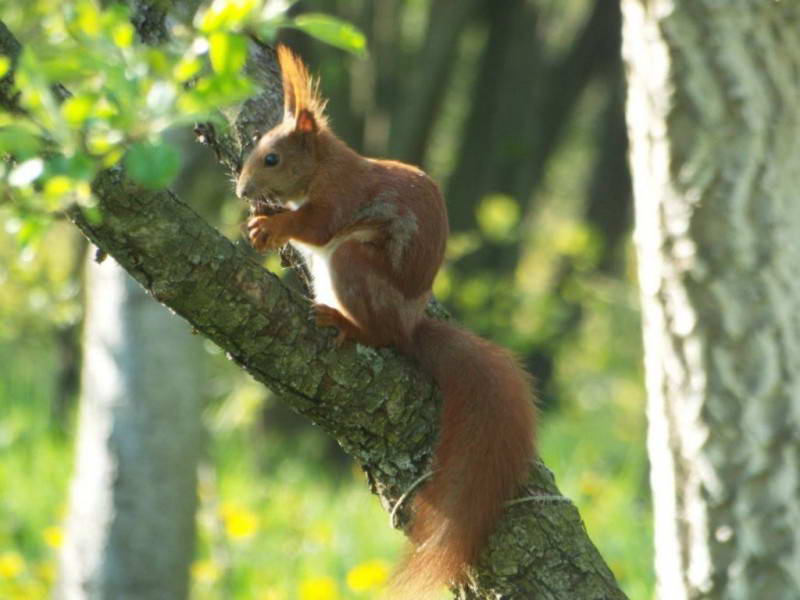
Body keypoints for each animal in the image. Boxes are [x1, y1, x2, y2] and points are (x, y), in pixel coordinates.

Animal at [238, 44, 536, 592]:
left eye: (272, 157)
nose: (243, 189)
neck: (325, 166)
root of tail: (411, 326)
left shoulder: (341, 198)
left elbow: (316, 226)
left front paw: (273, 225)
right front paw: (259, 222)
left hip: (353, 265)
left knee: (380, 334)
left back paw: (347, 325)